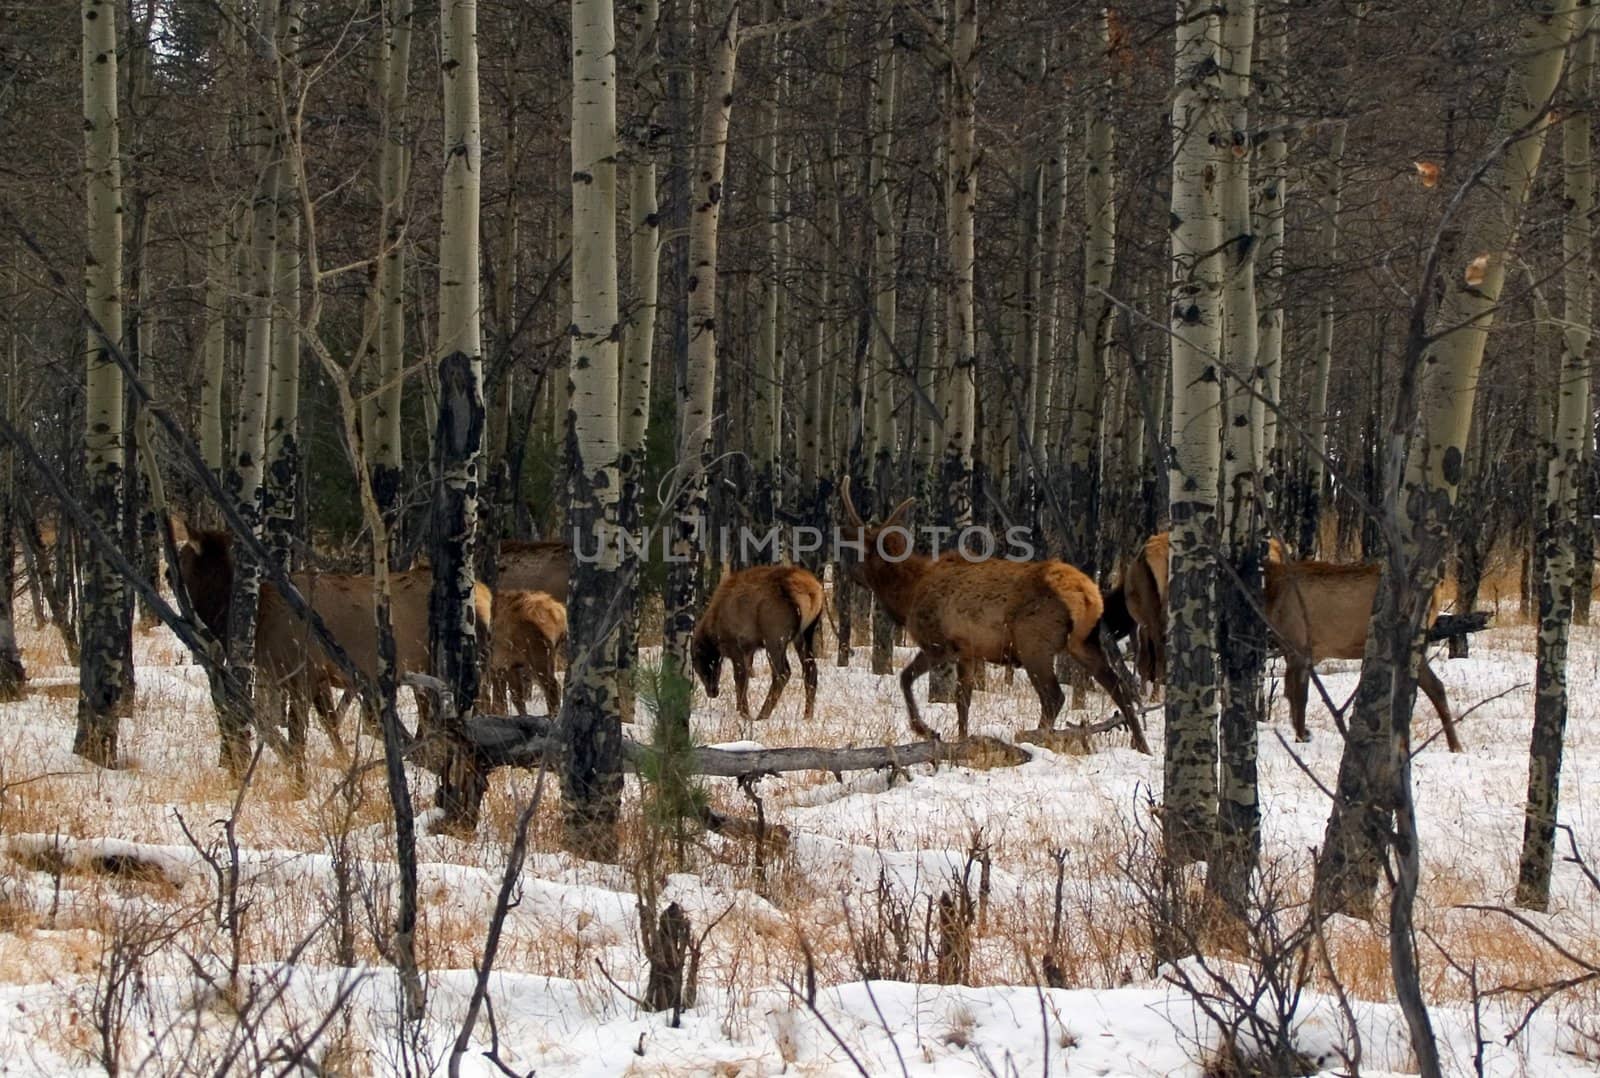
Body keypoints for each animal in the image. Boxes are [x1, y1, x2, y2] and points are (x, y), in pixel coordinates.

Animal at [694, 562, 825, 722]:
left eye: (699, 665)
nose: (712, 692)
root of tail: (813, 592)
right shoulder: (748, 649)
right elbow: (746, 677)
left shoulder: (735, 644)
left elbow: (739, 678)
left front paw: (744, 713)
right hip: (805, 634)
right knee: (811, 670)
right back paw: (807, 716)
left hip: (774, 635)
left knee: (782, 673)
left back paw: (762, 715)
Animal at [838, 479, 1152, 748]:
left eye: (862, 553)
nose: (849, 571)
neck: (907, 597)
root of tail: (1087, 597)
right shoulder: (968, 650)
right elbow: (963, 699)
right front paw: (961, 738)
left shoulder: (939, 643)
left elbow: (906, 678)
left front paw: (926, 730)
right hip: (1085, 642)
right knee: (1118, 686)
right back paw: (1142, 744)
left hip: (1033, 643)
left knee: (1054, 696)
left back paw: (1035, 737)